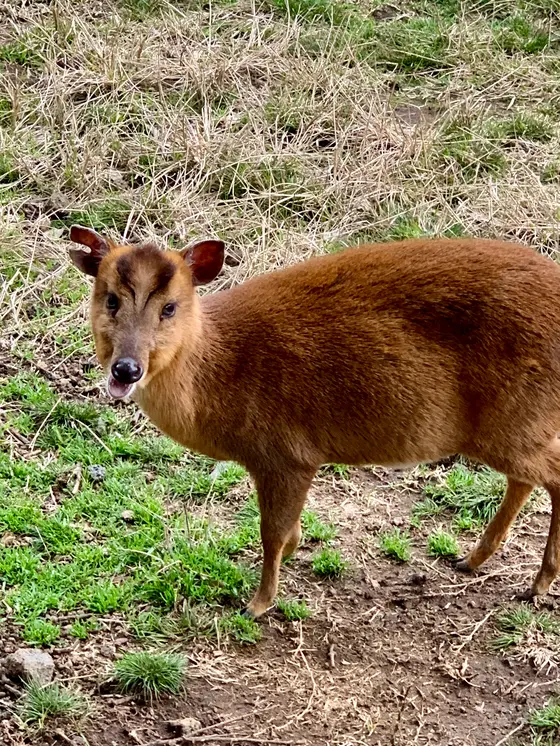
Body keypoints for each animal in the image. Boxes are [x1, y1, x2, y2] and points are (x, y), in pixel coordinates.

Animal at [70, 227, 560, 616]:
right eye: (110, 299)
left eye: (170, 308)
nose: (126, 369)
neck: (218, 374)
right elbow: (288, 532)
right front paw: (293, 553)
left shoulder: (285, 454)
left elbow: (270, 533)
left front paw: (258, 604)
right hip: (513, 429)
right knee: (525, 479)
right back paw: (472, 560)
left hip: (515, 420)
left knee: (552, 475)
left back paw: (537, 583)